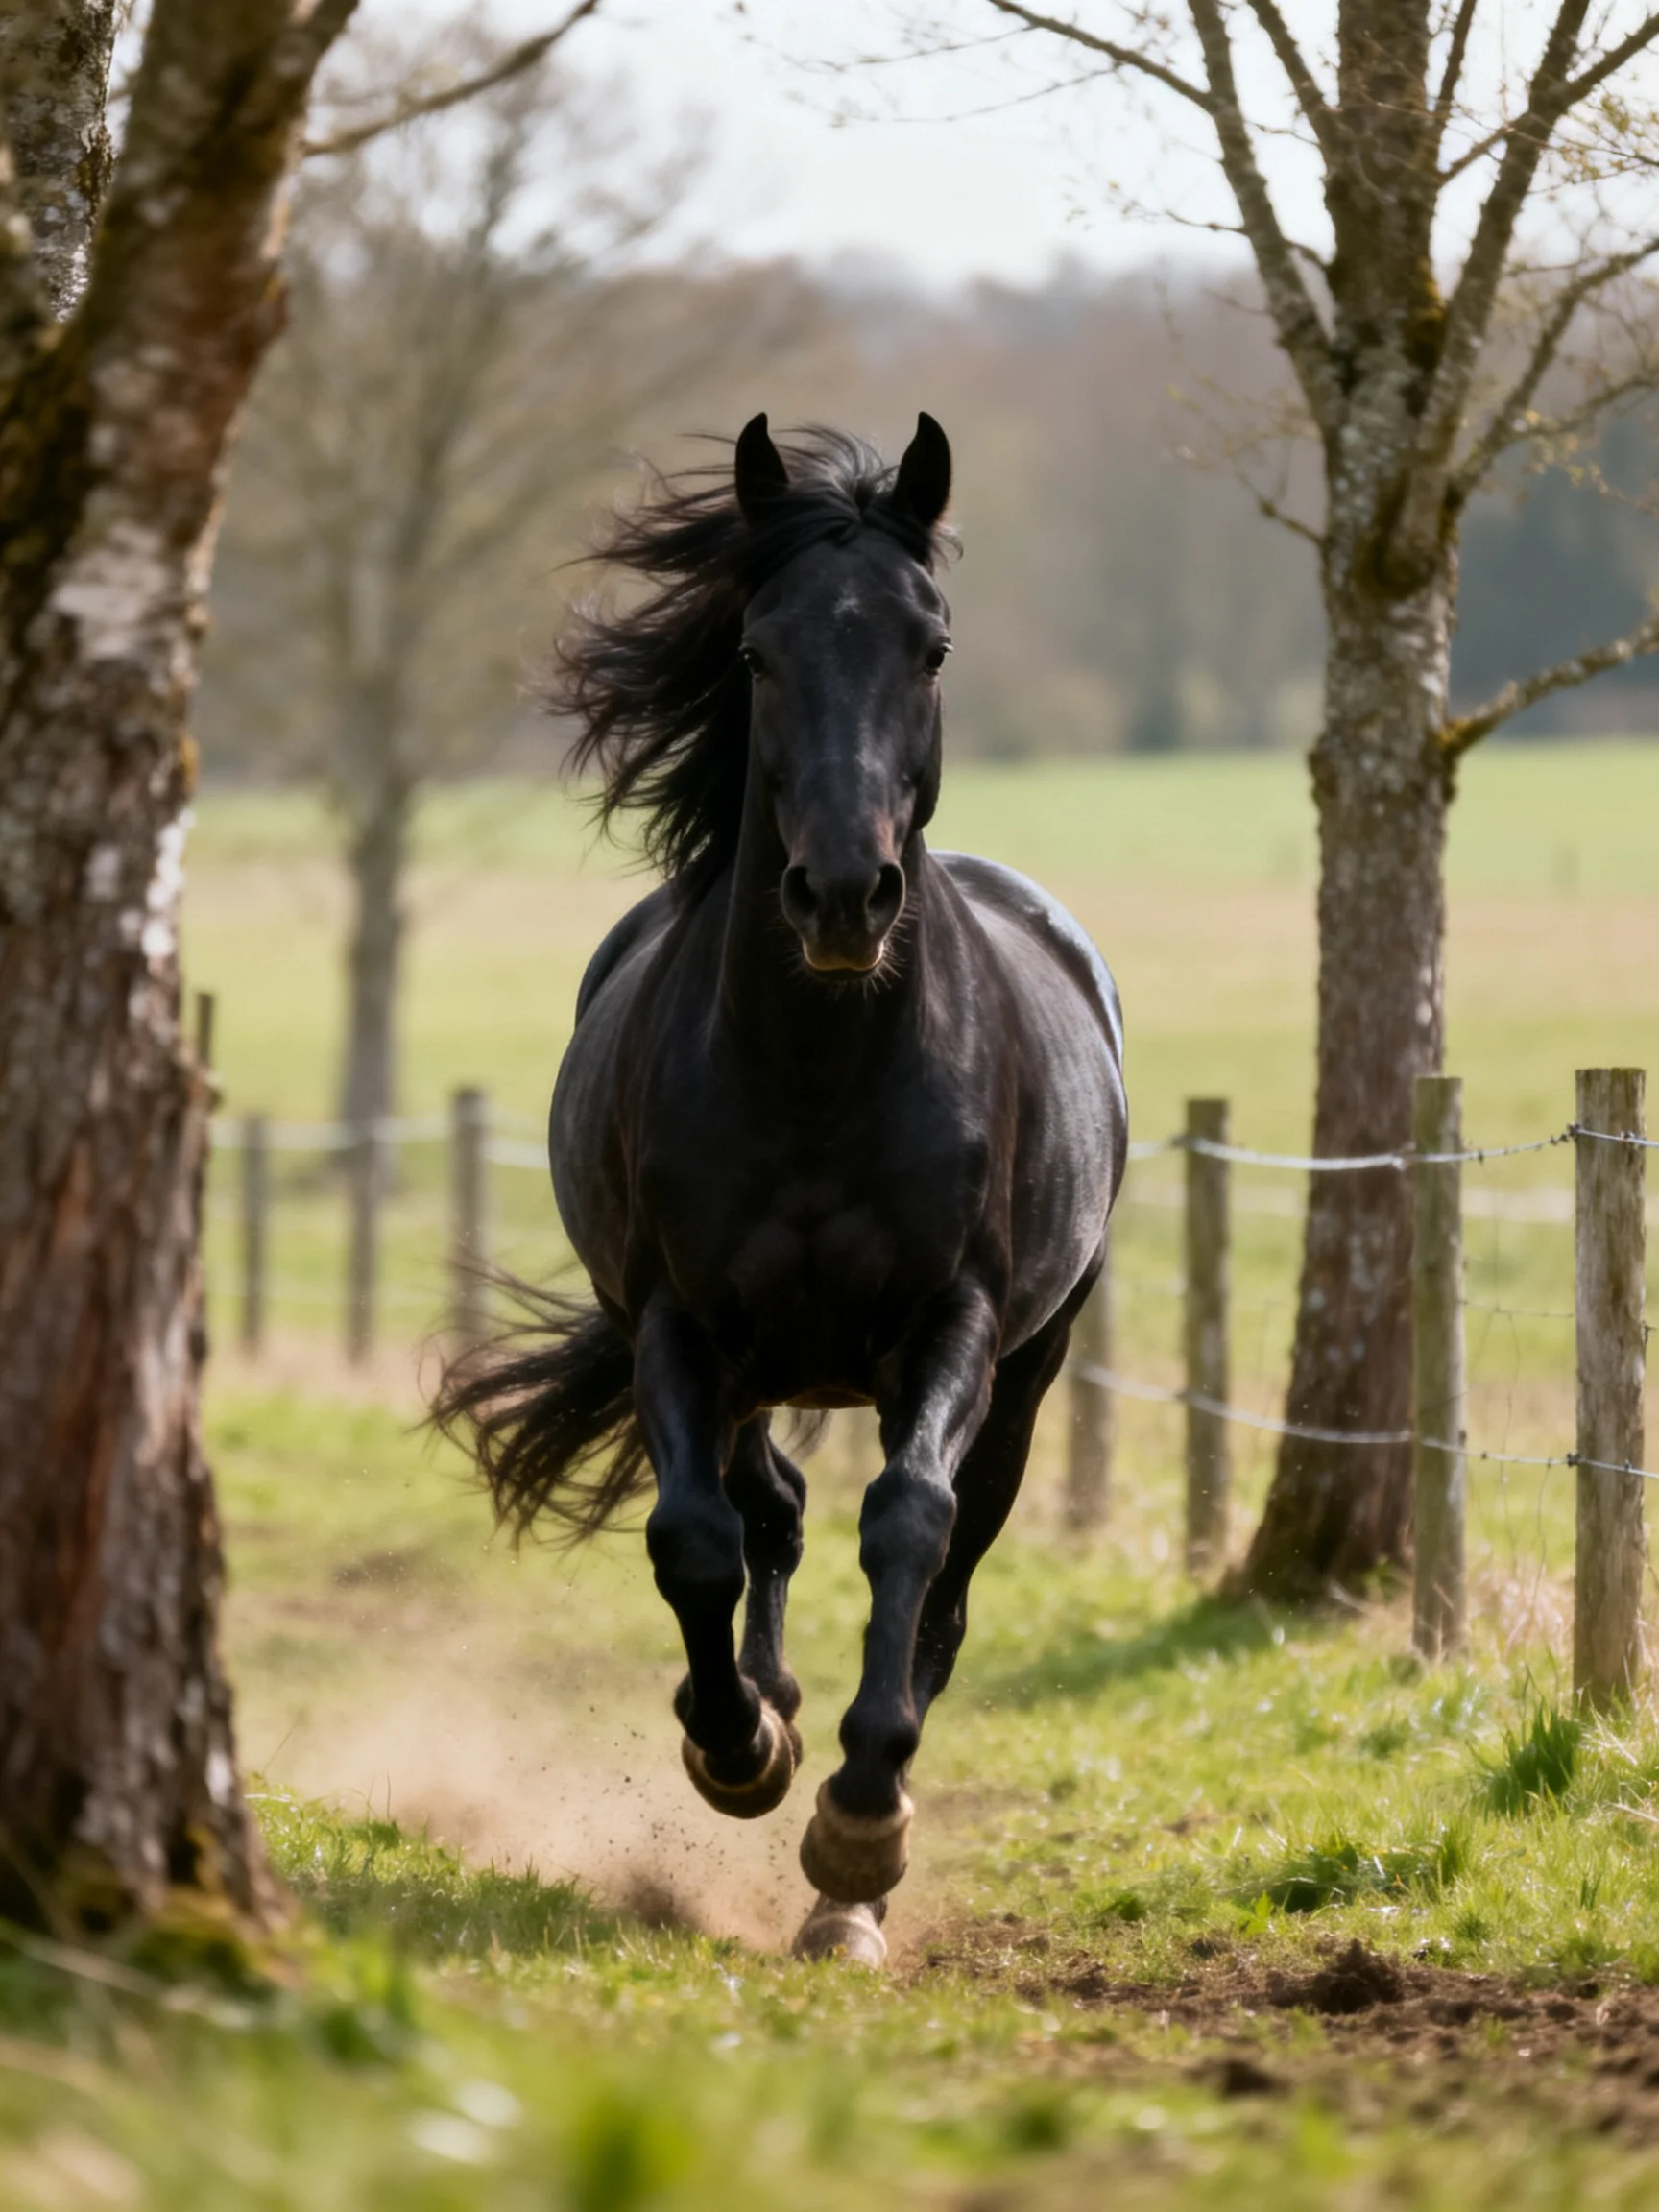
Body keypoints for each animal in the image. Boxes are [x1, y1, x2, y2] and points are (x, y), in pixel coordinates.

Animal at [435, 414, 1128, 1967]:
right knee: (770, 1510)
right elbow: (694, 1539)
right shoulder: (680, 1326)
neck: (820, 1066)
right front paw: (738, 1745)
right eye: (756, 652)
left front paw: (859, 1831)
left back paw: (848, 1884)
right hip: (757, 1368)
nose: (844, 897)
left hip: (1032, 1370)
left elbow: (910, 1532)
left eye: (933, 645)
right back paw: (772, 1717)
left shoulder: (957, 1327)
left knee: (943, 1580)